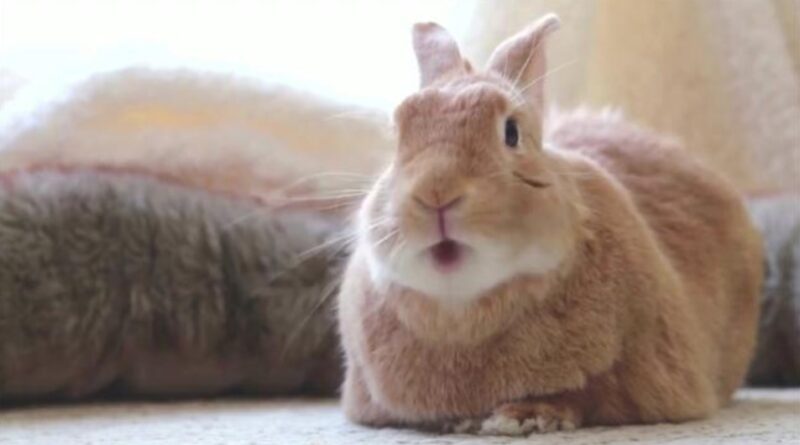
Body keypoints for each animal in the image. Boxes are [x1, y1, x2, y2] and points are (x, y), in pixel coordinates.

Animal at [337, 14, 763, 435]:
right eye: (398, 135)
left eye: (511, 133)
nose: (436, 193)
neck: (464, 313)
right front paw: (465, 420)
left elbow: (589, 393)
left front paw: (522, 417)